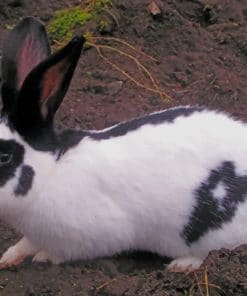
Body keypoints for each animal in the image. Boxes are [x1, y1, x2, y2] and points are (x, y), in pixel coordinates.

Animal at [0, 16, 247, 272]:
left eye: (5, 157)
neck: (51, 171)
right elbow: (26, 243)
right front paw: (8, 258)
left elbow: (61, 252)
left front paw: (44, 258)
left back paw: (181, 265)